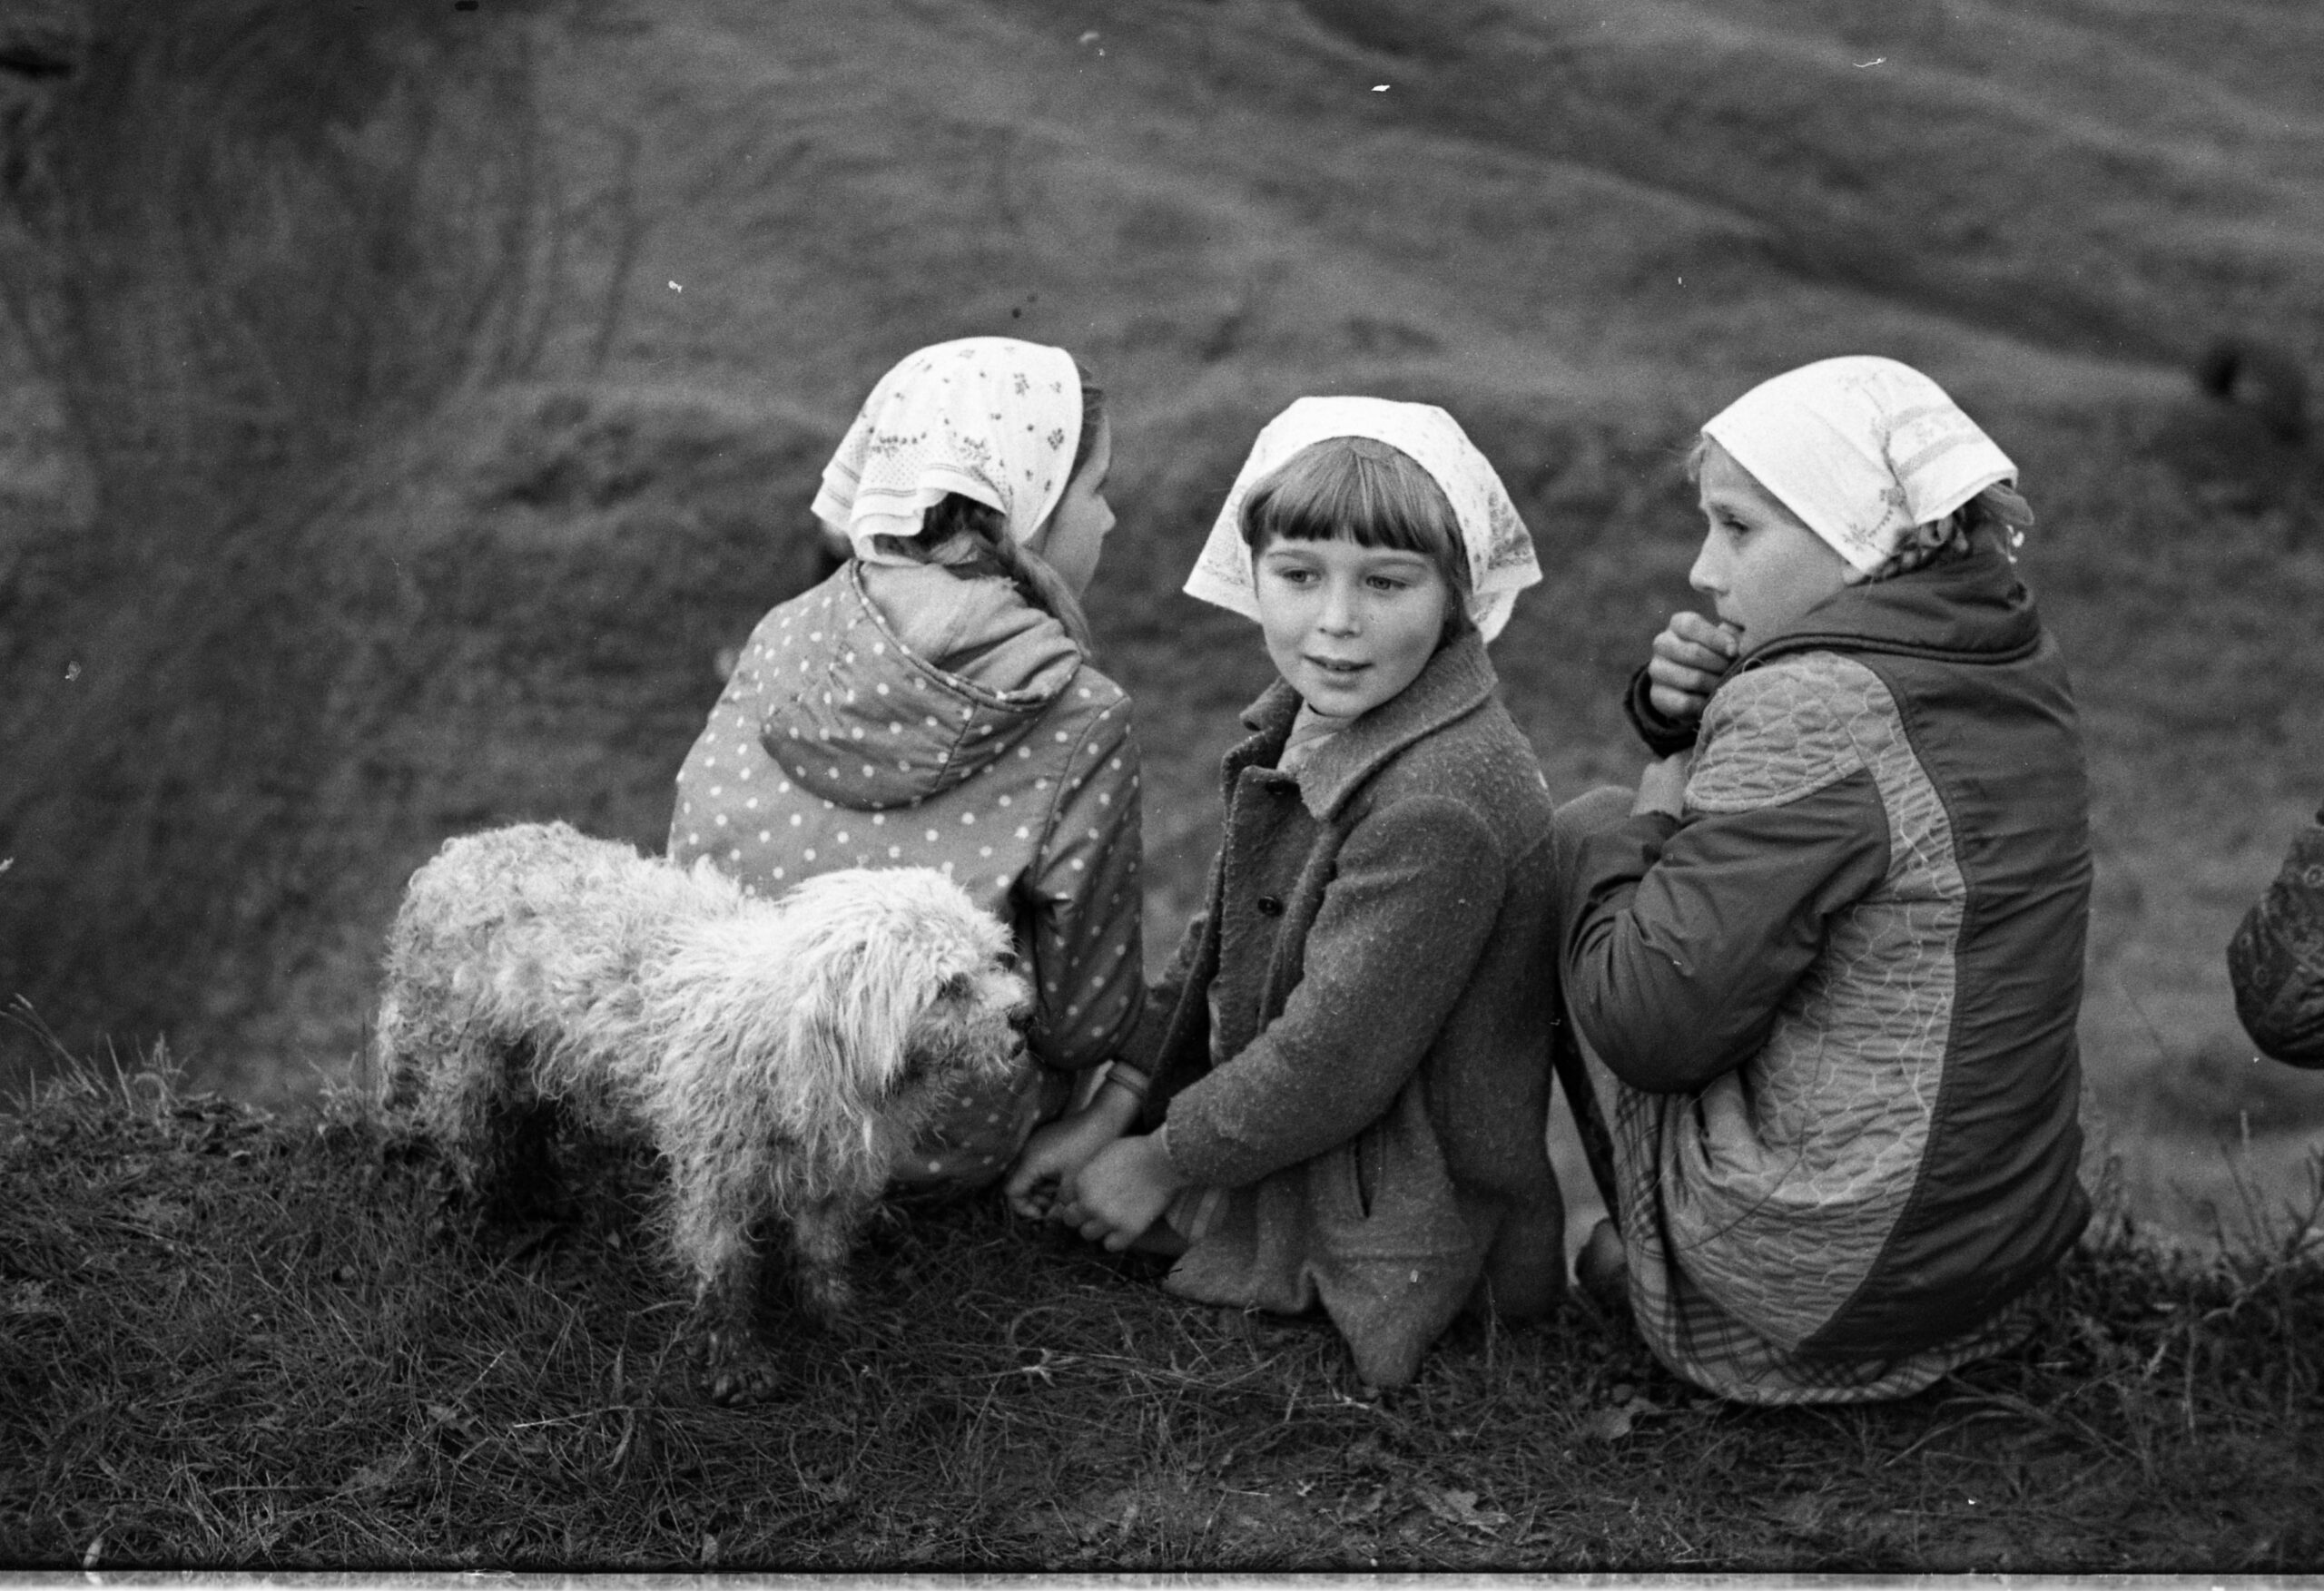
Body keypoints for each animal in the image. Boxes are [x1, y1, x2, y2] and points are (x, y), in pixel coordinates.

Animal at [374, 827, 1027, 1393]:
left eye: (994, 958)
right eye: (949, 987)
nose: (1024, 1015)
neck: (783, 1037)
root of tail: (455, 855)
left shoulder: (828, 1171)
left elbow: (822, 1253)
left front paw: (835, 1315)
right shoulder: (715, 1177)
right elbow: (724, 1270)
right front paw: (735, 1360)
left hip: (533, 1060)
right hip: (470, 1068)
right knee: (479, 1146)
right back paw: (505, 1220)